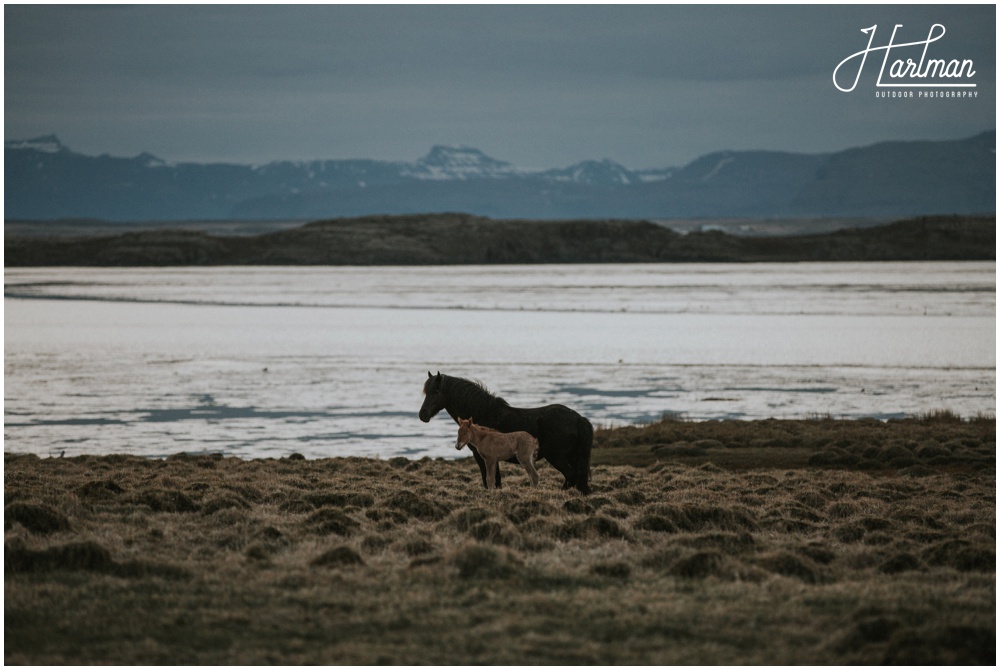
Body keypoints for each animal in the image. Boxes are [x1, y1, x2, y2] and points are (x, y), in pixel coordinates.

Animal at [416, 370, 588, 496]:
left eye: (436, 391)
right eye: (426, 392)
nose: (422, 415)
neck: (484, 412)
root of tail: (578, 418)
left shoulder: (482, 457)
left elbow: (489, 479)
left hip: (557, 457)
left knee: (571, 476)